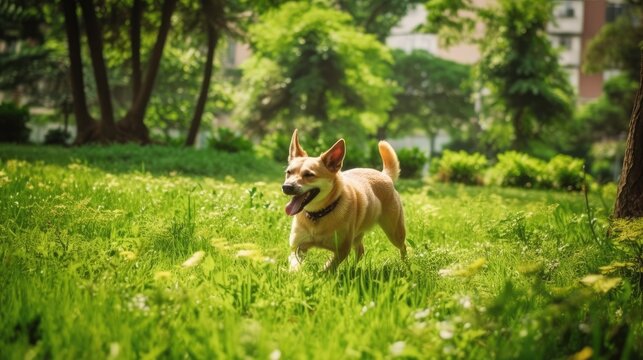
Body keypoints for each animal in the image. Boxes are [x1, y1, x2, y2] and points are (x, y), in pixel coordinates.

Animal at [284, 129, 408, 270]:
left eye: (309, 175)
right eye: (288, 173)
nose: (286, 187)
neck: (319, 214)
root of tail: (384, 175)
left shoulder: (342, 250)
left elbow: (328, 267)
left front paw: (321, 273)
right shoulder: (297, 247)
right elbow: (295, 261)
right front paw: (296, 271)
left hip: (394, 231)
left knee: (403, 246)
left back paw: (406, 265)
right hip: (357, 235)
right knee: (360, 251)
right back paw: (353, 268)